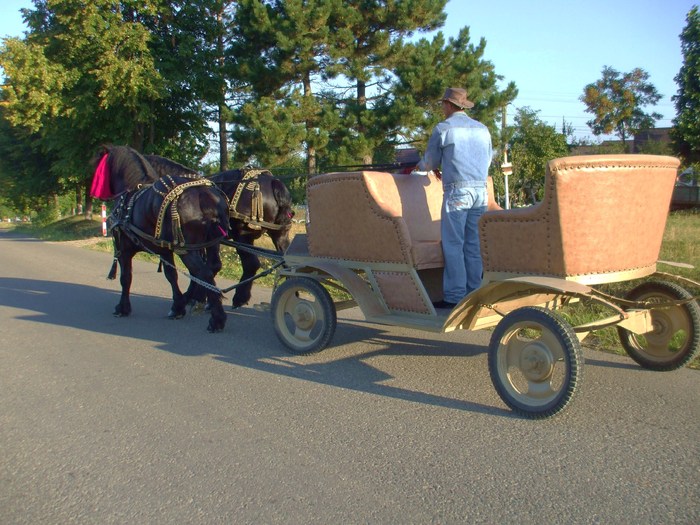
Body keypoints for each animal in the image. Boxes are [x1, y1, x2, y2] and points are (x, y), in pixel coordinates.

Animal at [91, 143, 230, 332]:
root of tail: (205, 195)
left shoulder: (124, 249)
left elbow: (126, 277)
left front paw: (122, 307)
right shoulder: (165, 249)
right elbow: (171, 275)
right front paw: (177, 307)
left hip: (187, 250)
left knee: (203, 273)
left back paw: (216, 318)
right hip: (211, 243)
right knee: (212, 267)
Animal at [146, 154, 294, 310]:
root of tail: (273, 182)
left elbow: (202, 268)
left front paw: (194, 297)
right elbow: (206, 267)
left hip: (243, 235)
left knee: (251, 264)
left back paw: (240, 297)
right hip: (279, 234)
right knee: (287, 263)